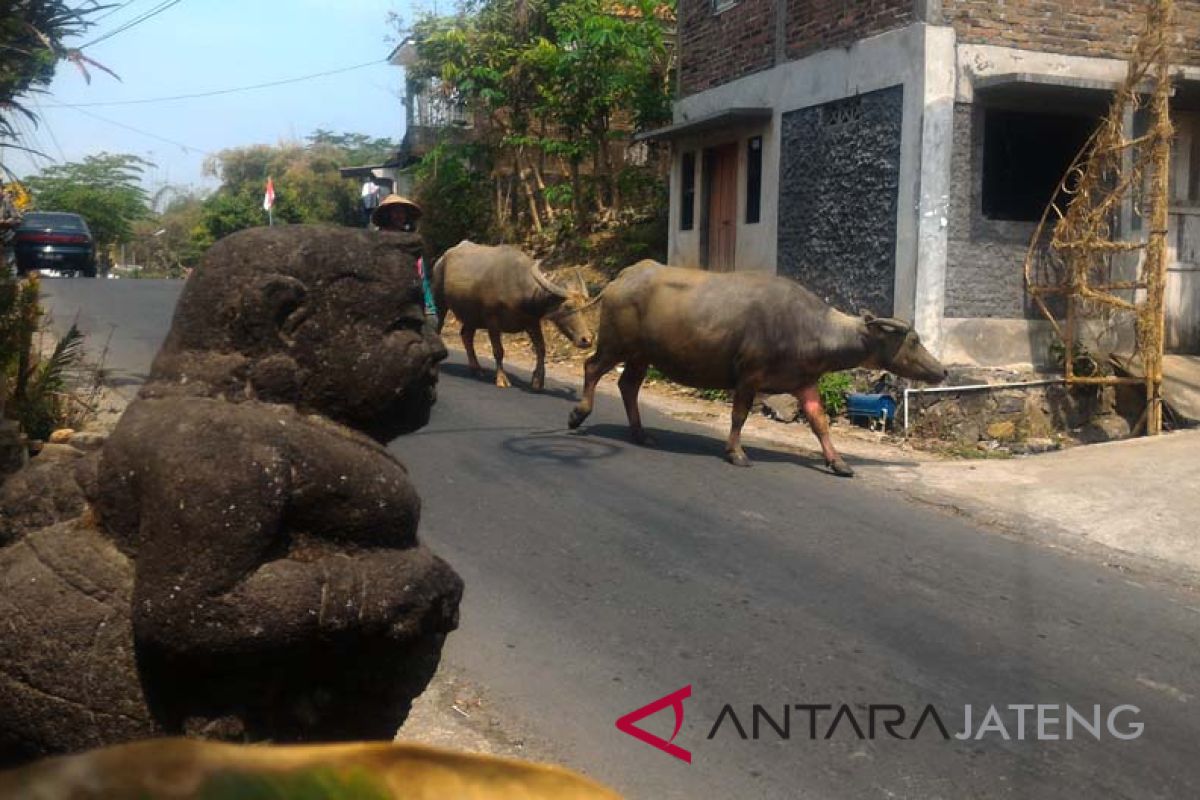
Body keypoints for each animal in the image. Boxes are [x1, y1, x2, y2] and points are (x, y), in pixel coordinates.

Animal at [436, 241, 595, 391]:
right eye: (568, 306)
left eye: (583, 307)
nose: (587, 339)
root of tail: (442, 258)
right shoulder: (492, 321)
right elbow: (498, 351)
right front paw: (502, 379)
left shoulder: (532, 322)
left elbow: (541, 349)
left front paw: (538, 380)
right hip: (440, 302)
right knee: (438, 327)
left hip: (471, 316)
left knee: (466, 335)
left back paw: (477, 369)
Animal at [566, 261, 950, 474]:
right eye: (913, 340)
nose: (943, 371)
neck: (809, 328)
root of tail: (624, 277)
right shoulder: (749, 376)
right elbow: (739, 416)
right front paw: (736, 452)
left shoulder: (804, 382)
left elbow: (820, 423)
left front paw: (838, 462)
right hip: (616, 345)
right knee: (591, 368)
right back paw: (578, 415)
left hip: (642, 355)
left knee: (628, 386)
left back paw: (641, 433)